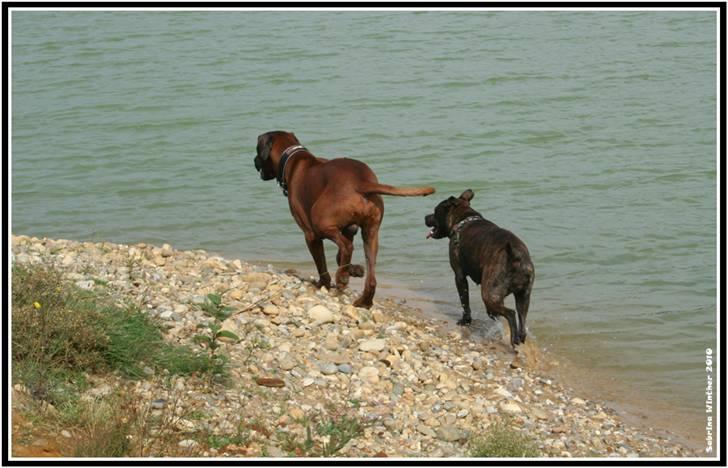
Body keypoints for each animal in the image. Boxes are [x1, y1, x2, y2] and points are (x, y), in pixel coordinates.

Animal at [253, 131, 436, 308]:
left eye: (256, 150)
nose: (254, 161)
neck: (293, 158)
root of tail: (361, 182)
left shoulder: (311, 235)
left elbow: (323, 263)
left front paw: (324, 283)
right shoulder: (349, 229)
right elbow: (339, 255)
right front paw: (353, 269)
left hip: (320, 223)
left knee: (347, 247)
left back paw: (342, 279)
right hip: (370, 233)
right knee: (369, 275)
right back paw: (364, 300)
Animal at [426, 189, 536, 348]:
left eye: (435, 212)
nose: (425, 217)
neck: (462, 220)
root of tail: (516, 257)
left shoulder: (459, 276)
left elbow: (464, 301)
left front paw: (465, 321)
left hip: (489, 294)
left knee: (510, 313)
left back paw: (513, 339)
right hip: (523, 296)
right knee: (521, 320)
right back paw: (518, 337)